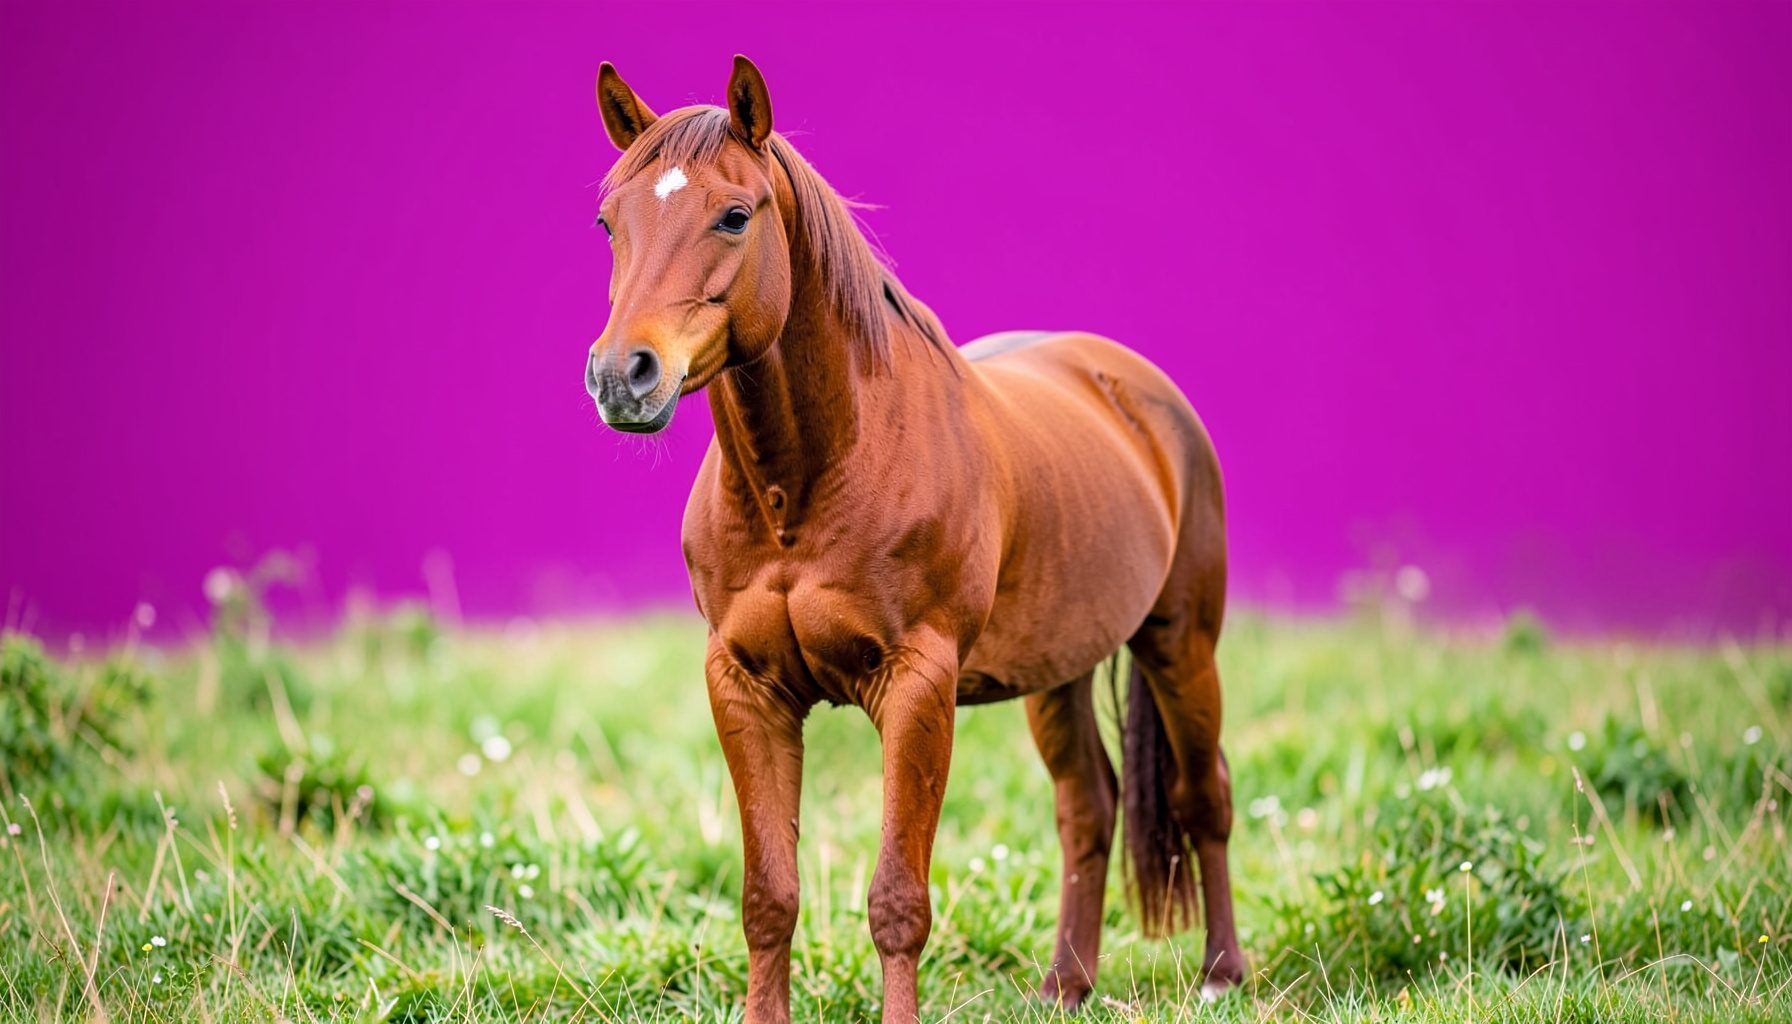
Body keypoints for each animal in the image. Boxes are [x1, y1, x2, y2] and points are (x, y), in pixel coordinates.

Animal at [586, 56, 1241, 1023]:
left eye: (735, 215)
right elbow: (767, 898)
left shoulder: (917, 687)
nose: (622, 378)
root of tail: (1136, 387)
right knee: (1088, 806)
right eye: (608, 221)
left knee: (1205, 798)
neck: (803, 489)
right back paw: (1065, 986)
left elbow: (897, 900)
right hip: (1061, 666)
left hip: (1180, 643)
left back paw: (1223, 973)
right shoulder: (745, 688)